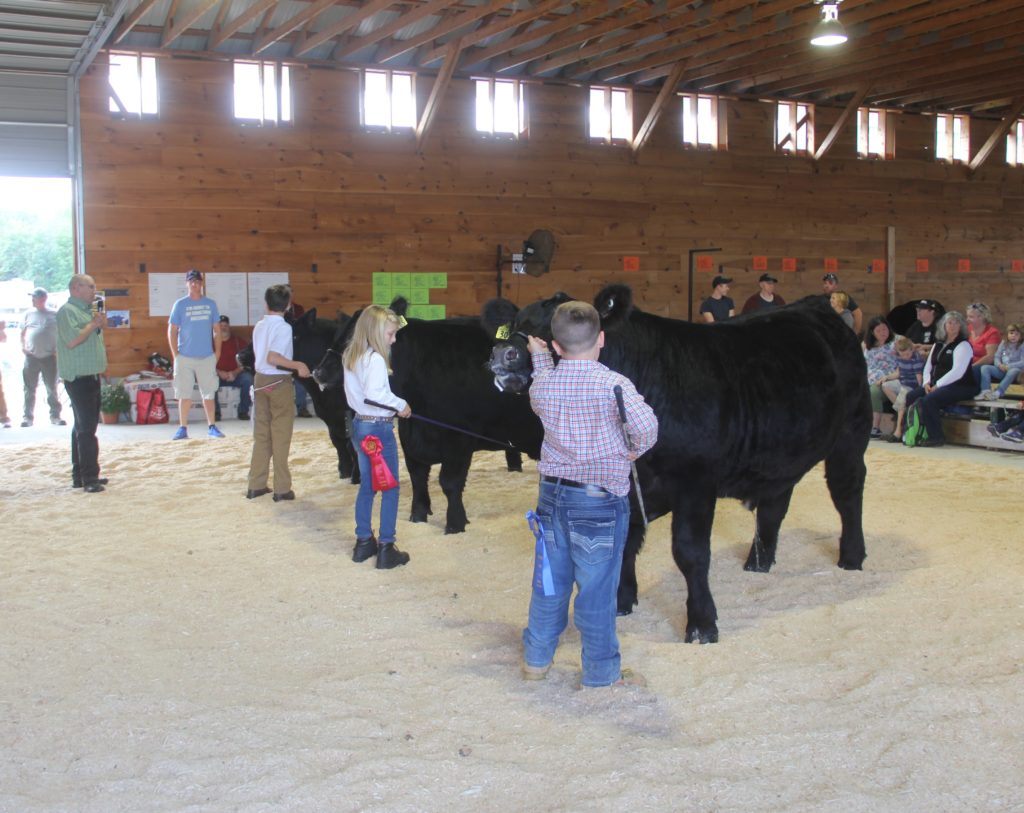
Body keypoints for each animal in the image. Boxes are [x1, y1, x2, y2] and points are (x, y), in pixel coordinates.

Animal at [311, 303, 544, 532]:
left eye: (351, 338)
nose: (318, 372)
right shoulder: (409, 435)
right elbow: (417, 476)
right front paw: (418, 515)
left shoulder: (459, 438)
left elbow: (449, 482)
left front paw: (455, 524)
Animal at [483, 282, 868, 638]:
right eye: (515, 322)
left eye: (553, 328)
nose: (503, 353)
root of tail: (816, 303)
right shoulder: (623, 484)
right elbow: (624, 543)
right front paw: (620, 602)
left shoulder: (695, 484)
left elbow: (690, 553)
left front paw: (702, 623)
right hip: (780, 450)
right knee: (776, 500)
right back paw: (759, 561)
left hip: (851, 431)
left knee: (847, 491)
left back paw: (852, 556)